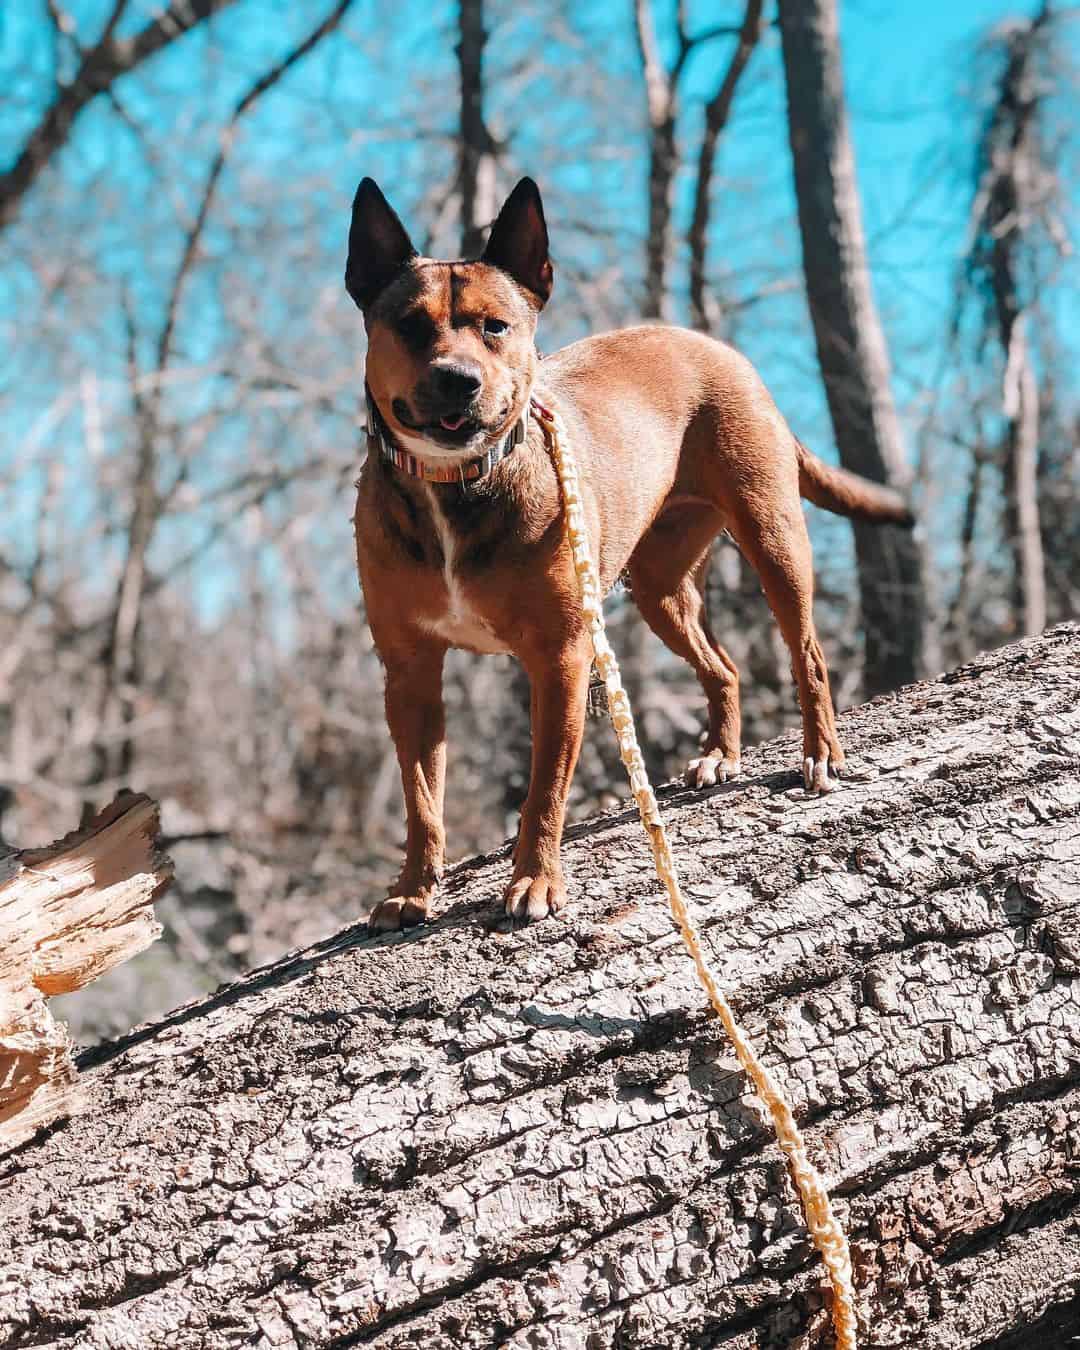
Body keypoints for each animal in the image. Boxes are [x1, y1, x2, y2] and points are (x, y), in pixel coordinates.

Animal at [345, 176, 912, 928]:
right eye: (410, 326)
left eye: (495, 327)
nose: (458, 379)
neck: (457, 482)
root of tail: (715, 346)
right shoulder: (410, 673)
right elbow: (421, 799)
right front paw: (413, 889)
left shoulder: (560, 659)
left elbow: (543, 791)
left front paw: (535, 880)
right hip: (657, 589)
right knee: (724, 667)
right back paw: (720, 755)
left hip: (773, 540)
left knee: (808, 655)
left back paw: (821, 754)